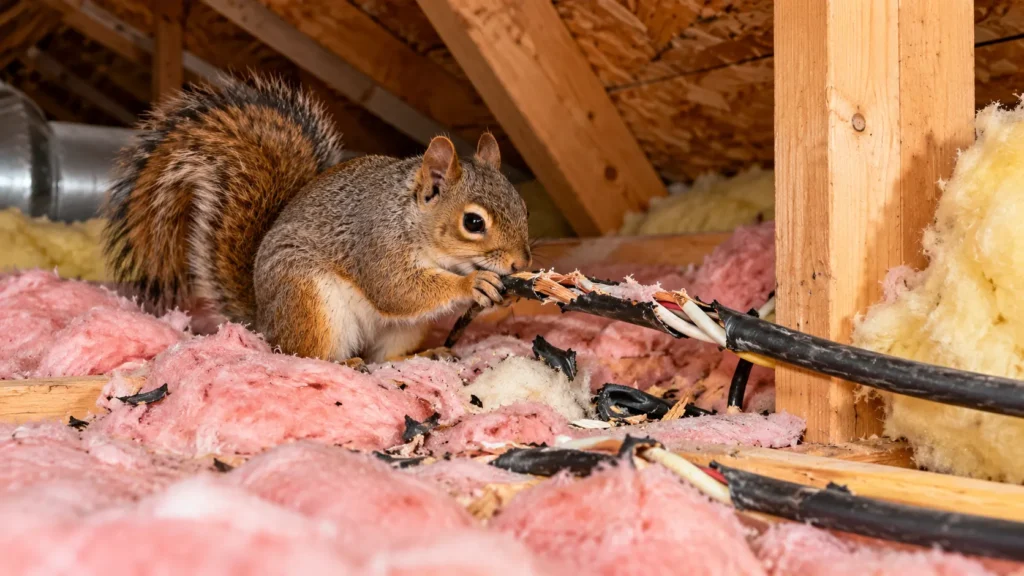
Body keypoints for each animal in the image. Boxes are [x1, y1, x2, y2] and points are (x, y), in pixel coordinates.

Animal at [102, 73, 532, 364]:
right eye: (473, 223)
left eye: (524, 208)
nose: (520, 263)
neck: (409, 219)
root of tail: (265, 322)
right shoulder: (375, 246)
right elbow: (397, 290)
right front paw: (472, 284)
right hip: (309, 299)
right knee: (308, 355)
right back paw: (347, 363)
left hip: (402, 330)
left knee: (387, 358)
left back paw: (421, 357)